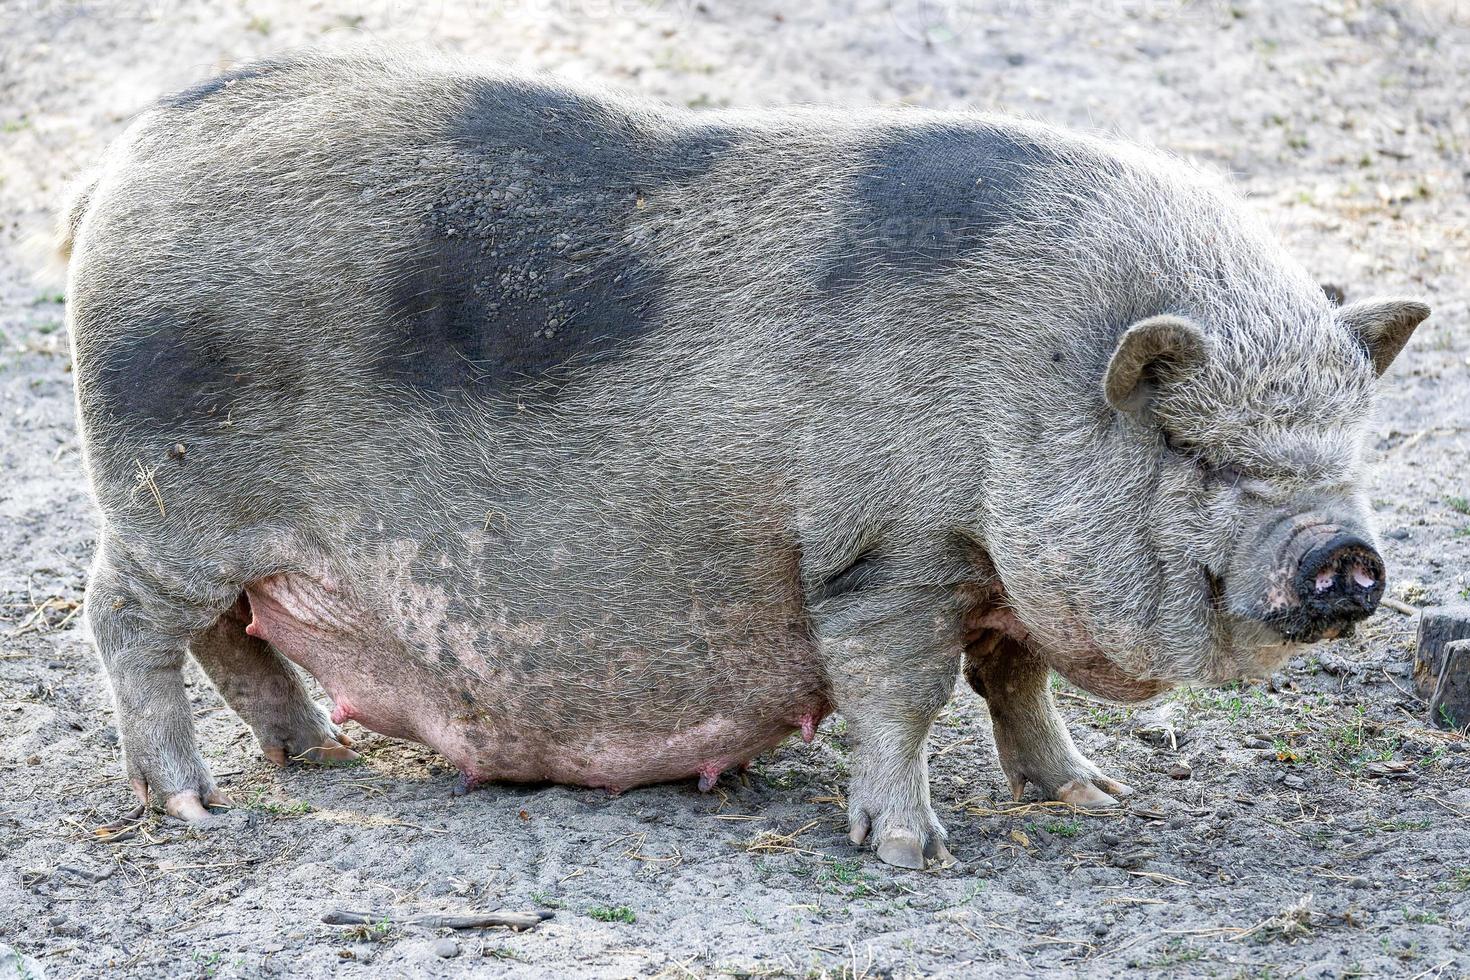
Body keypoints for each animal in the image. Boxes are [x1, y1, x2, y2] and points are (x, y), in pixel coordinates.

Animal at [63, 49, 1428, 869]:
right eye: (1199, 452)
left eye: (1357, 445)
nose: (1345, 553)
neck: (1033, 382)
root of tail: (136, 150)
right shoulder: (894, 548)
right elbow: (905, 691)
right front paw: (913, 852)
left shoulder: (1001, 568)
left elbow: (1016, 682)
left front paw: (1092, 797)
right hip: (167, 501)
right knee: (127, 620)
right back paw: (195, 805)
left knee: (233, 637)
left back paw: (318, 756)